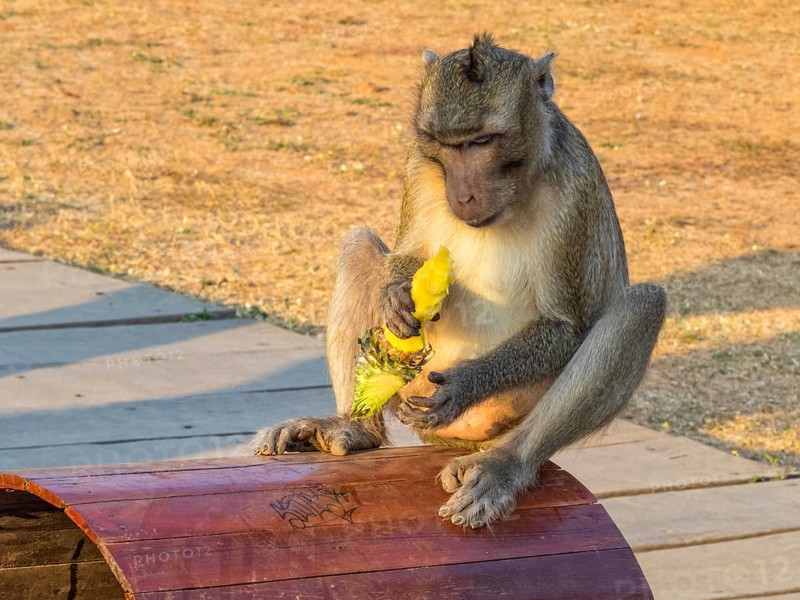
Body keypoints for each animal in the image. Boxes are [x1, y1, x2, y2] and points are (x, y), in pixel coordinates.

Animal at [250, 33, 666, 529]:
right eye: (448, 146)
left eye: (481, 142)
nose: (463, 194)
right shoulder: (418, 163)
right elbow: (407, 255)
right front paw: (395, 299)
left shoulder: (575, 186)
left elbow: (565, 325)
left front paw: (466, 385)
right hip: (410, 396)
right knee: (357, 247)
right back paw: (353, 427)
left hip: (505, 413)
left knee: (643, 305)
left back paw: (505, 463)